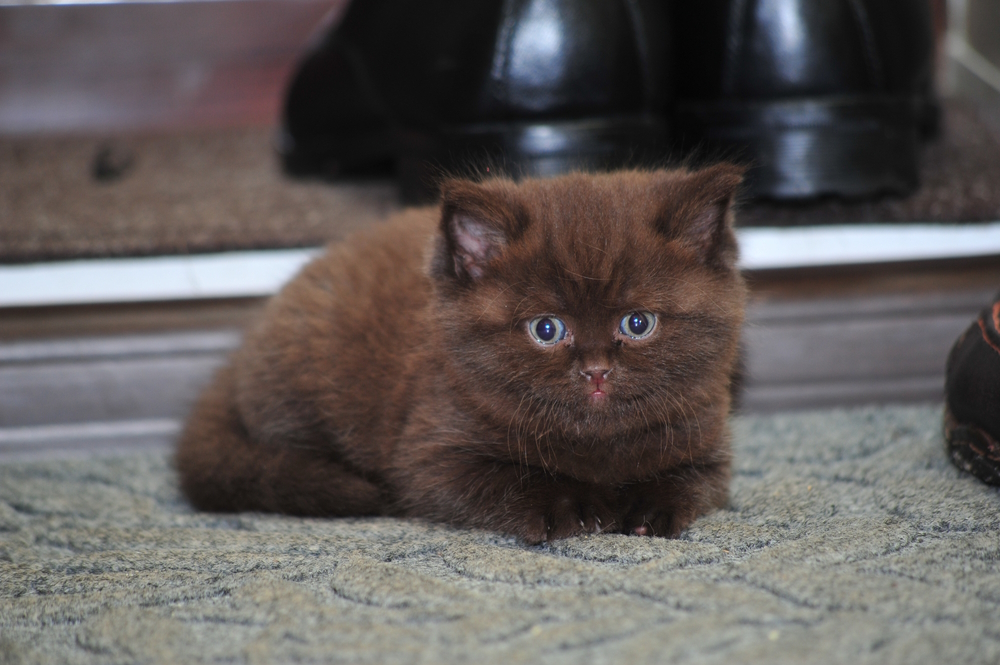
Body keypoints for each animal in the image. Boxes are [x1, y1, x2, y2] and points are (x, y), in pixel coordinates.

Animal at [176, 163, 748, 544]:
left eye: (638, 323)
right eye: (546, 328)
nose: (596, 372)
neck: (595, 447)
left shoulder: (707, 440)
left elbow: (688, 480)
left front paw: (648, 506)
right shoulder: (429, 452)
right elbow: (508, 475)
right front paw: (573, 504)